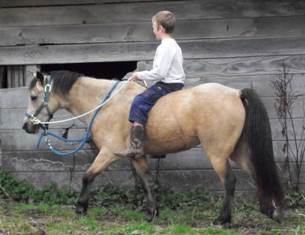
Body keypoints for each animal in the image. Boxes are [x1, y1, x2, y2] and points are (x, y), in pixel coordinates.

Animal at [22, 70, 282, 224]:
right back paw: (272, 211)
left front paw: (80, 208)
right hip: (238, 151)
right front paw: (152, 212)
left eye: (34, 96)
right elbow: (147, 181)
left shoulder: (109, 152)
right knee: (258, 173)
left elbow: (88, 177)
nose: (27, 126)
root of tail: (235, 93)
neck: (105, 103)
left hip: (217, 153)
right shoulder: (137, 156)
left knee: (229, 181)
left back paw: (223, 219)